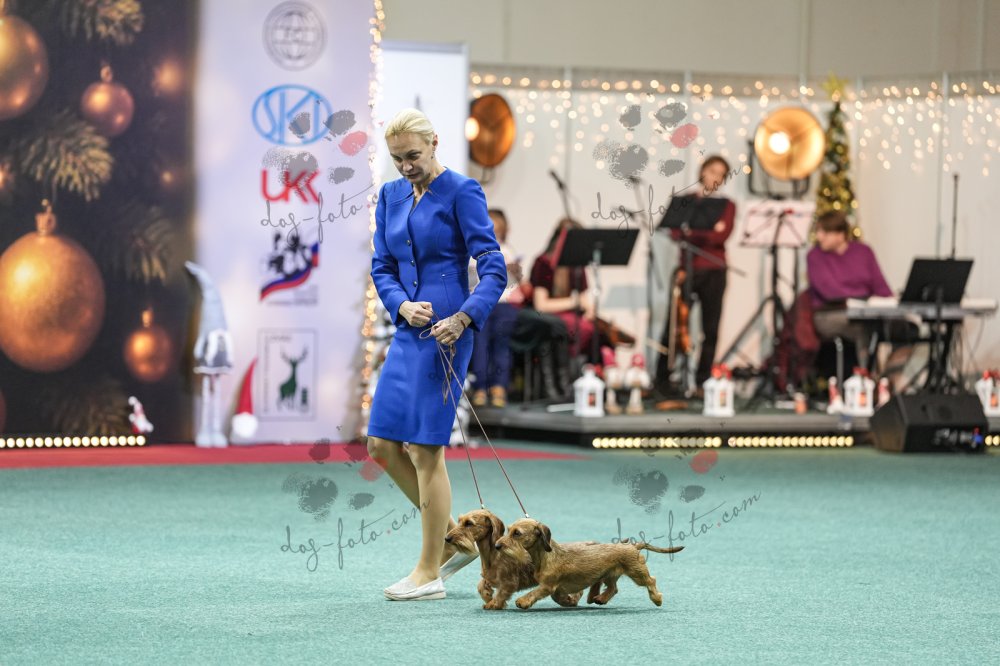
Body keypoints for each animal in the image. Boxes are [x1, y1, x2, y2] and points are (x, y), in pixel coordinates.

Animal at [444, 509, 586, 610]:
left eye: (469, 523)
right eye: (459, 521)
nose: (447, 538)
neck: (493, 554)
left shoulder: (509, 583)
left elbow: (501, 593)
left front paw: (494, 604)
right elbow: (481, 585)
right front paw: (487, 595)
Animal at [494, 518, 684, 609]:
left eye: (517, 533)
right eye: (508, 530)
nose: (496, 546)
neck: (547, 555)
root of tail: (633, 546)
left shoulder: (547, 586)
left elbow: (534, 593)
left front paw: (523, 601)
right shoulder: (555, 588)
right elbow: (557, 596)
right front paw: (568, 601)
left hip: (637, 573)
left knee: (651, 581)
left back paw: (657, 599)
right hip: (609, 575)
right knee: (613, 588)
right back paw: (598, 598)